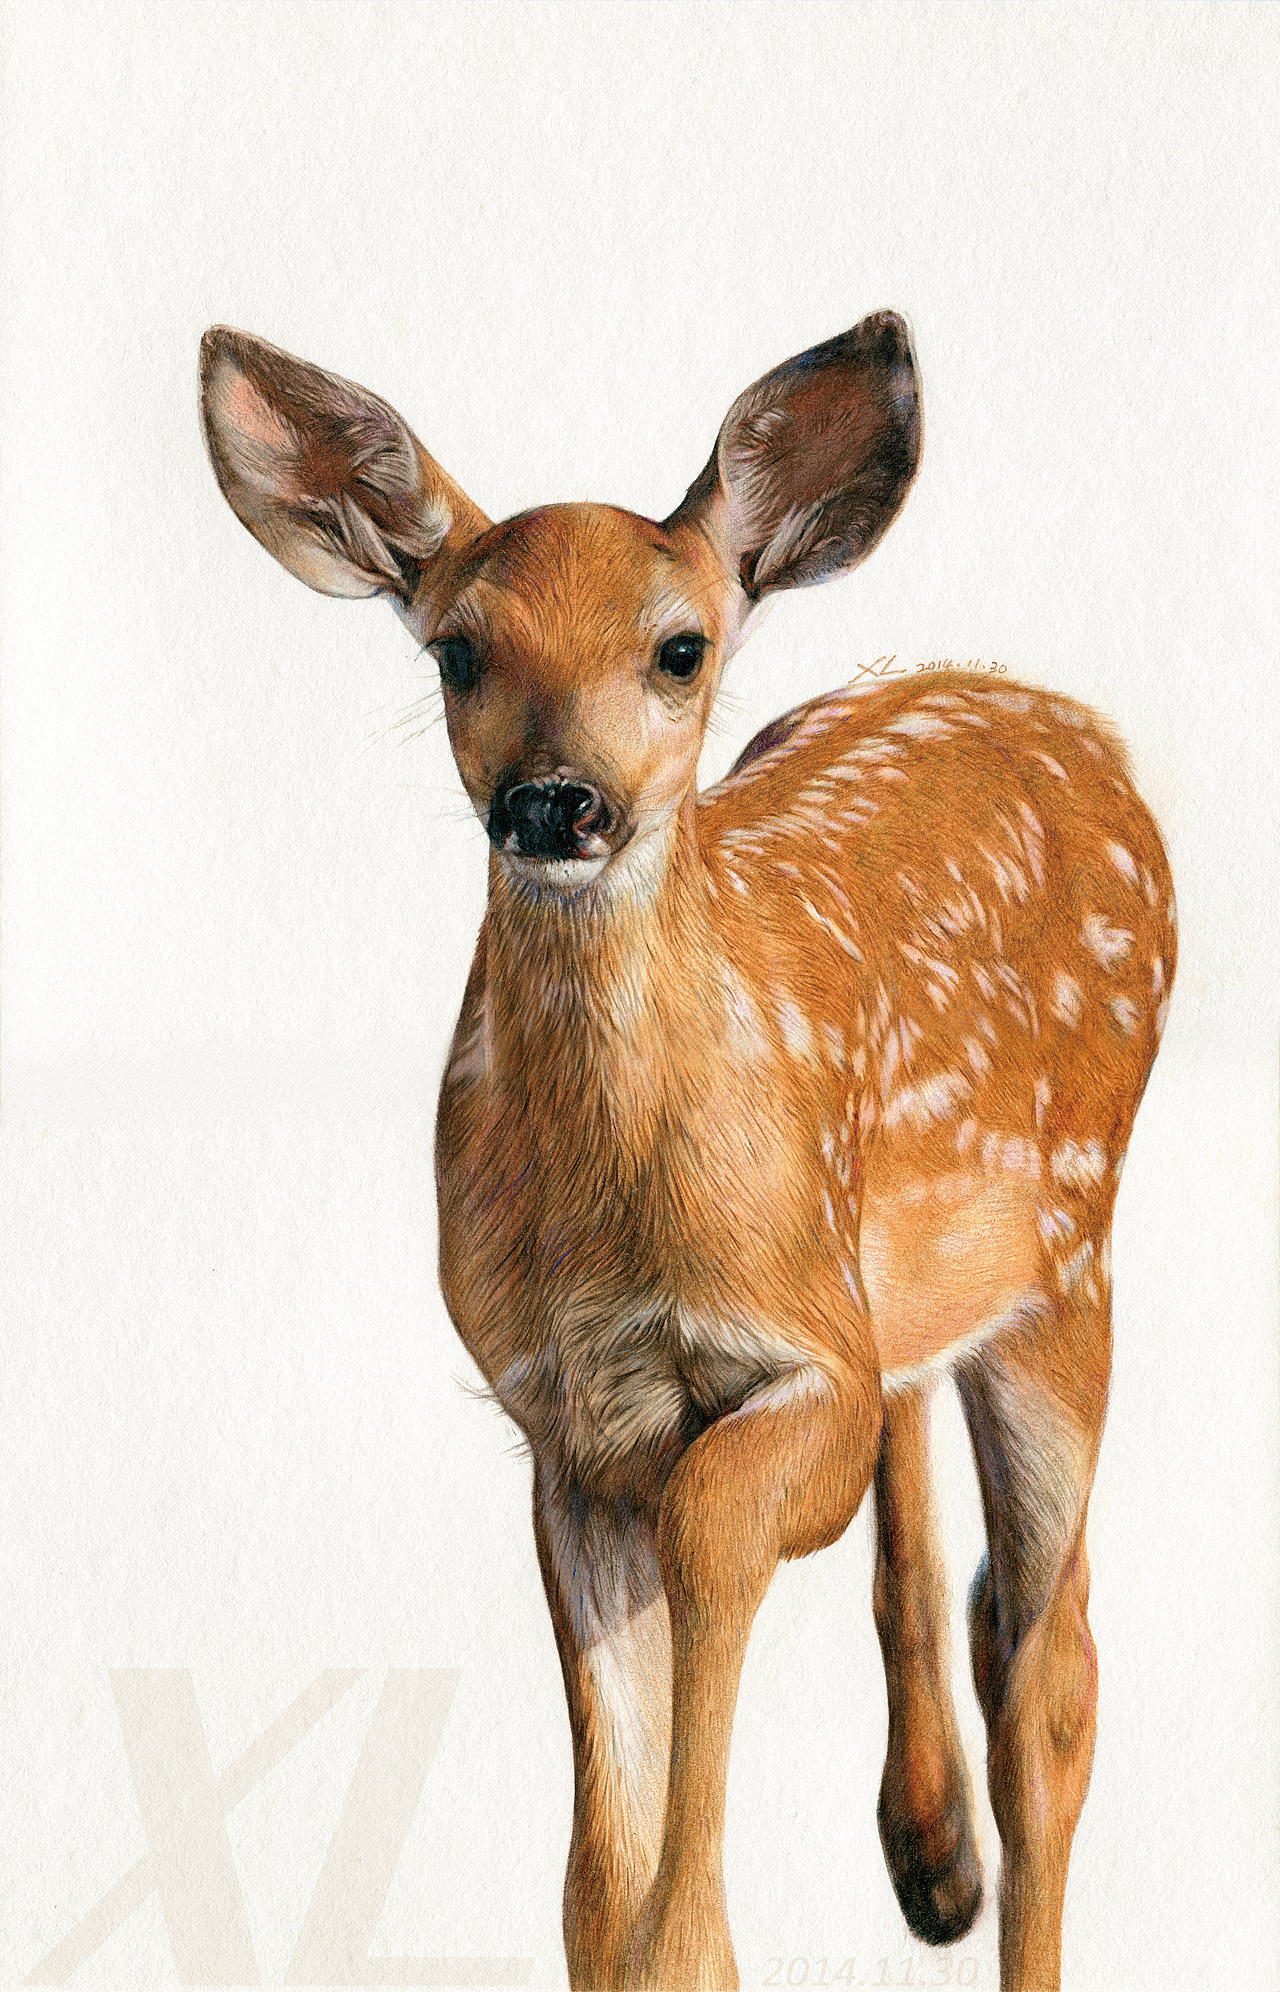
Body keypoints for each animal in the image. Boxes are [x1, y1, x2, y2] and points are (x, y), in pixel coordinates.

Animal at [199, 312, 1175, 1992]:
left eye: (678, 648)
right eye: (458, 650)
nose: (555, 801)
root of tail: (1071, 723)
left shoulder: (793, 1355)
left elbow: (720, 1527)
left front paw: (697, 1939)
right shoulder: (564, 1421)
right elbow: (594, 1879)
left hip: (1071, 1251)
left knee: (1052, 1674)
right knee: (943, 1539)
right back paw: (930, 1858)